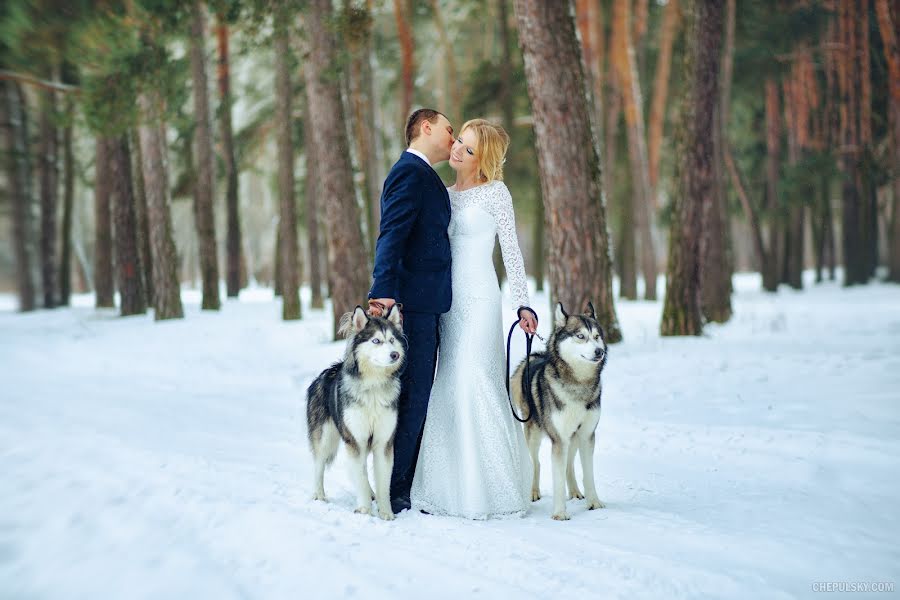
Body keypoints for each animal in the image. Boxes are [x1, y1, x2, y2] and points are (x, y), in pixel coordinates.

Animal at [306, 308, 404, 516]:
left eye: (392, 340)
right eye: (376, 341)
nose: (395, 355)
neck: (373, 387)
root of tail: (327, 372)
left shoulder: (383, 441)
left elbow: (383, 481)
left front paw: (386, 513)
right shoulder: (355, 439)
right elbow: (359, 476)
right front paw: (365, 511)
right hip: (325, 436)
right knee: (319, 464)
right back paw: (319, 495)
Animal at [510, 302, 608, 516]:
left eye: (597, 336)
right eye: (580, 336)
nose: (599, 351)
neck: (578, 384)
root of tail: (533, 357)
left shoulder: (587, 435)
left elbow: (588, 474)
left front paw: (594, 503)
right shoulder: (559, 438)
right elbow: (557, 477)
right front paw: (559, 514)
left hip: (573, 438)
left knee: (569, 465)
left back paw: (575, 492)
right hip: (534, 433)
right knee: (536, 463)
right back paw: (533, 492)